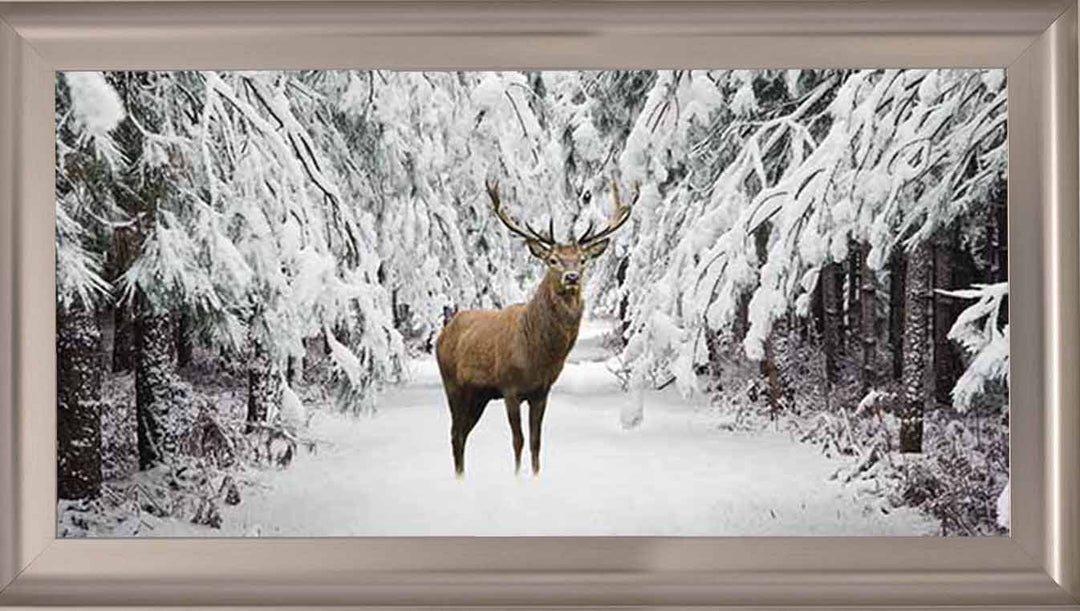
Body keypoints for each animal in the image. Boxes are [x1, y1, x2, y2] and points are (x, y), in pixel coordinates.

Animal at [435, 178, 637, 477]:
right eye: (552, 260)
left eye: (582, 259)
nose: (571, 277)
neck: (537, 355)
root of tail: (444, 332)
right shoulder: (509, 387)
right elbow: (518, 440)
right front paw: (518, 477)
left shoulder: (541, 391)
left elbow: (536, 441)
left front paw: (536, 476)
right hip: (452, 384)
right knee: (455, 433)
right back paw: (459, 477)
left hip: (478, 395)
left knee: (462, 433)